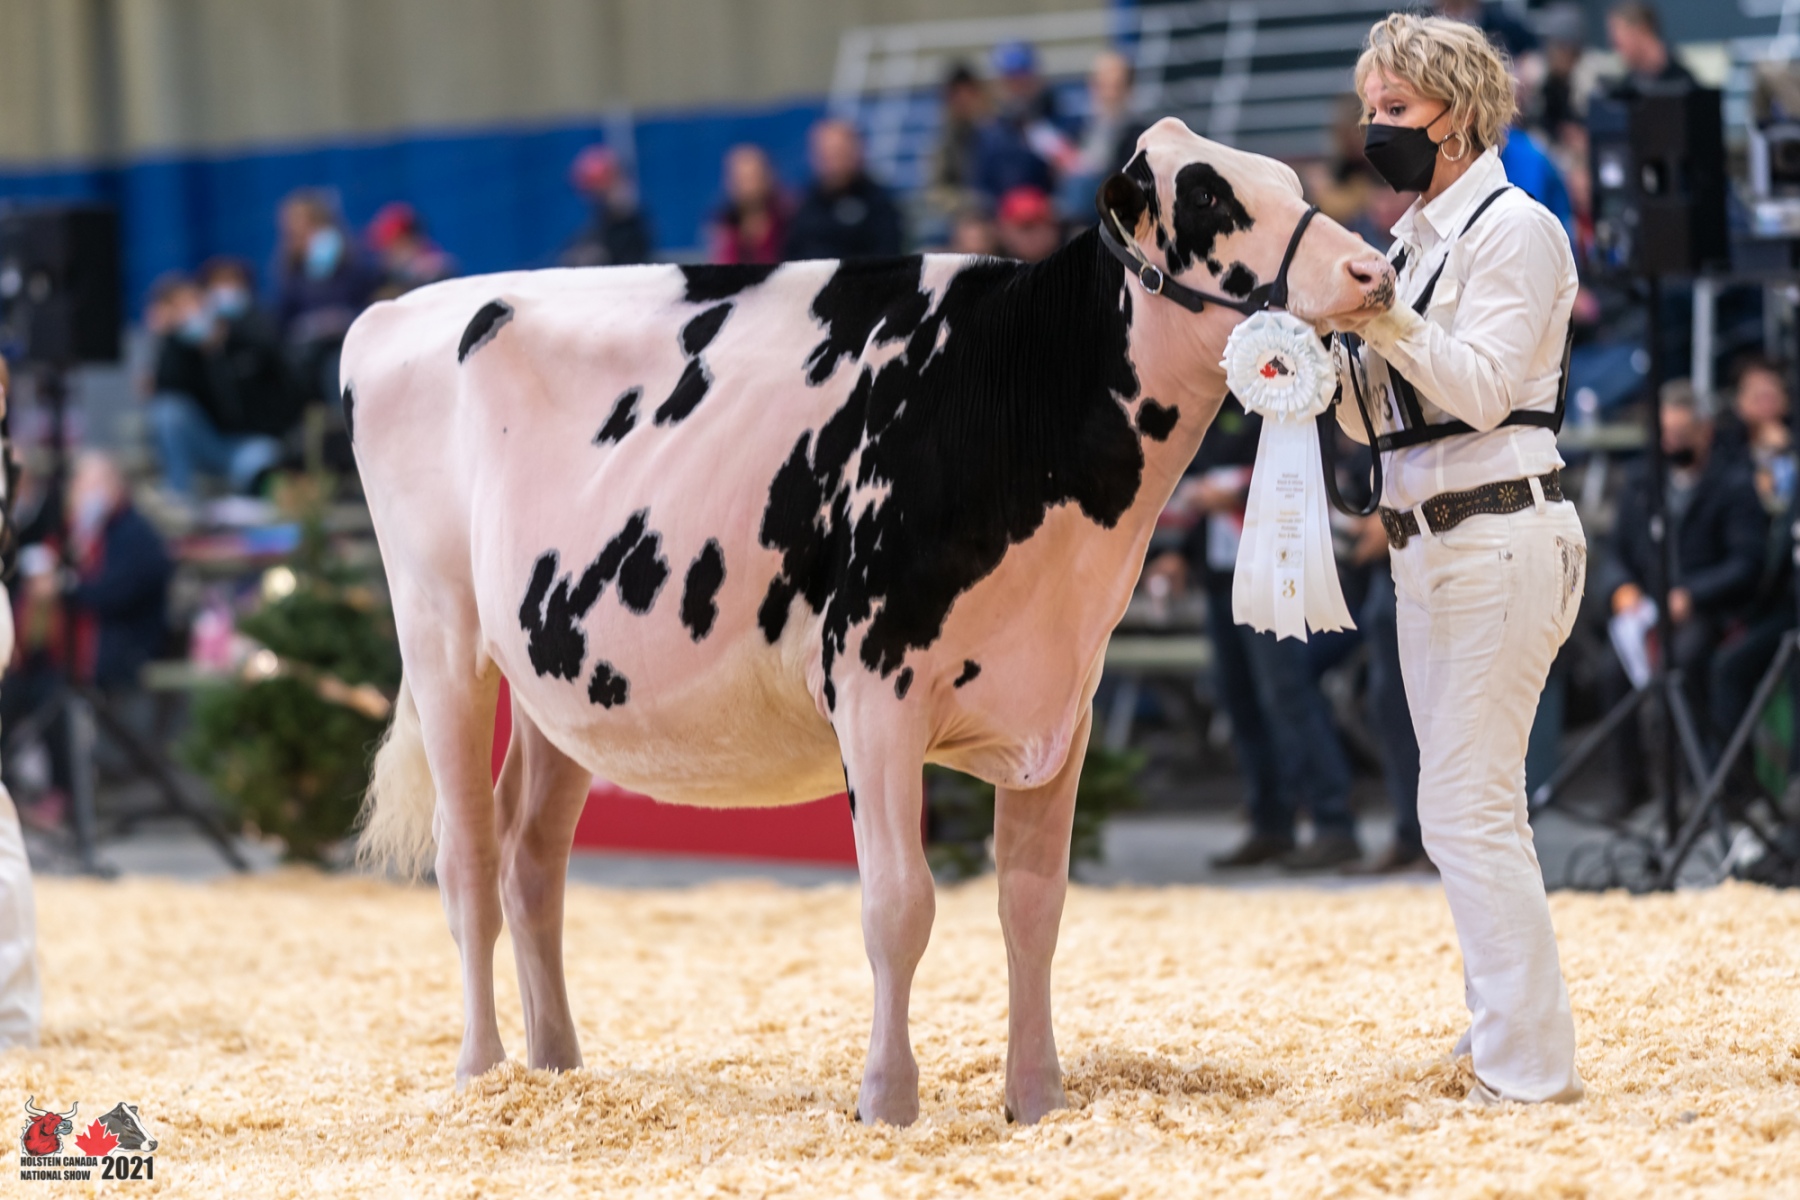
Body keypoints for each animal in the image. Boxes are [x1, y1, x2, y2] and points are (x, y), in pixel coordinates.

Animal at [348, 118, 1393, 1126]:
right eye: (1212, 198)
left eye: (1291, 183)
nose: (1372, 270)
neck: (1016, 392)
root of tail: (392, 311)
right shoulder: (873, 685)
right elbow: (899, 905)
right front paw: (888, 1101)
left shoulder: (1066, 699)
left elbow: (1034, 903)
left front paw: (1037, 1099)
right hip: (440, 634)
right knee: (467, 857)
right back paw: (482, 1075)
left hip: (556, 679)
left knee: (532, 859)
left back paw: (556, 1070)